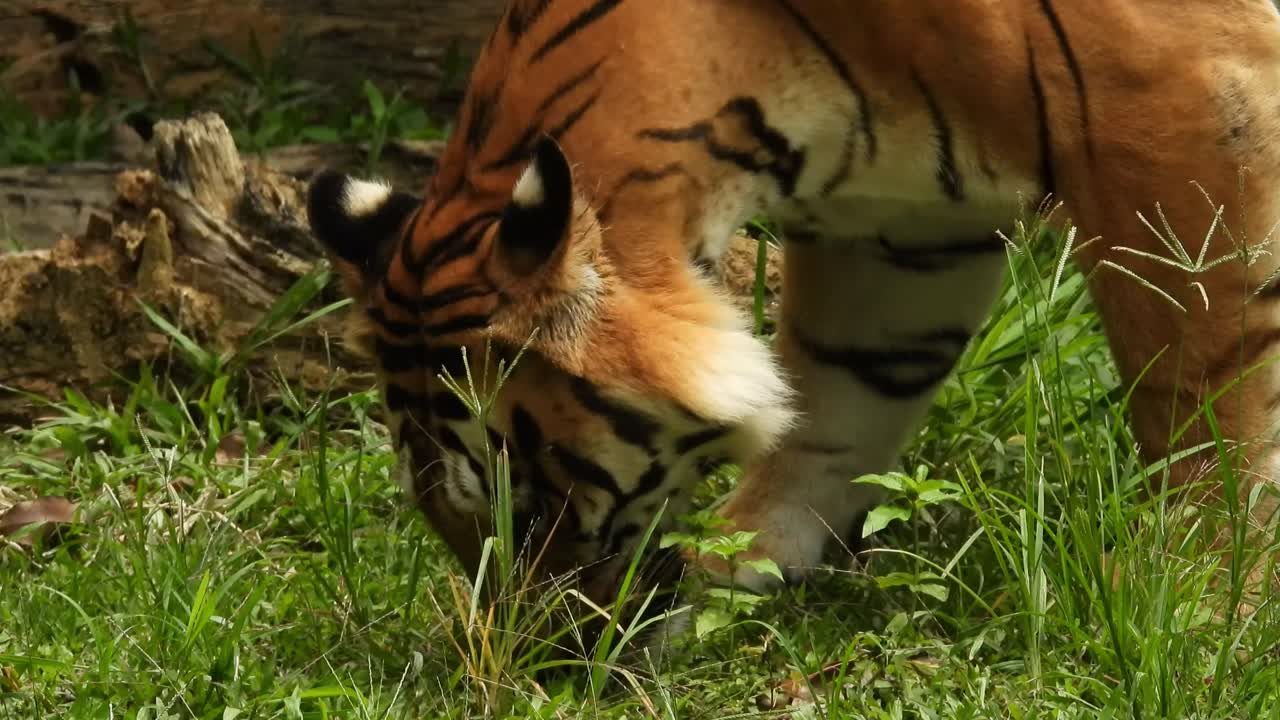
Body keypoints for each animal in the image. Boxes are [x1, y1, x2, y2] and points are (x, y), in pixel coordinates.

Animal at [306, 0, 1280, 628]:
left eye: (537, 509)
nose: (540, 661)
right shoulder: (905, 229)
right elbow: (844, 394)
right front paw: (747, 554)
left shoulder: (1178, 100)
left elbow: (1201, 384)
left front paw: (1199, 590)